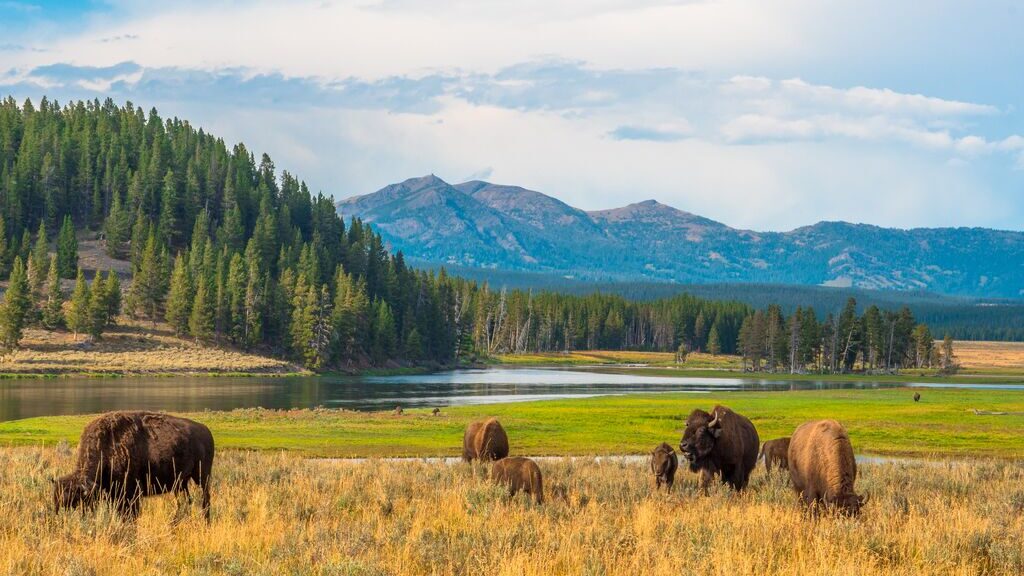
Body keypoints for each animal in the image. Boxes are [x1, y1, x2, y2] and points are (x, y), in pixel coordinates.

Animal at [52, 411, 214, 522]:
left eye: (76, 503)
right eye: (56, 502)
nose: (61, 519)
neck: (107, 446)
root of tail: (206, 430)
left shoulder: (131, 494)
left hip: (202, 476)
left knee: (205, 499)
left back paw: (205, 521)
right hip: (181, 483)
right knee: (185, 502)